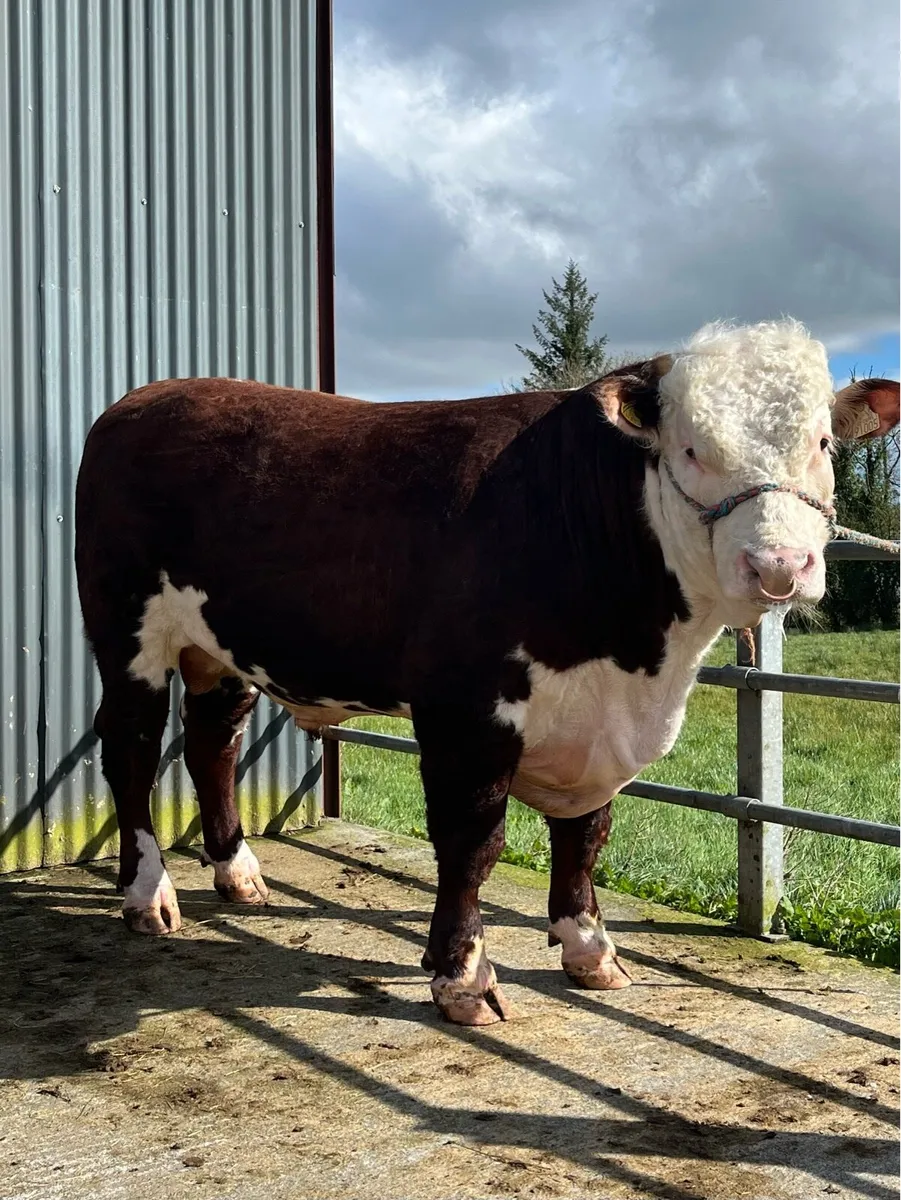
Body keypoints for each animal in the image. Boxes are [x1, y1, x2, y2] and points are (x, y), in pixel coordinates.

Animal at [75, 319, 899, 1025]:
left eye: (823, 441)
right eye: (692, 449)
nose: (779, 565)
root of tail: (142, 399)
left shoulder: (593, 724)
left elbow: (586, 834)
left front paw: (589, 948)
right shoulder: (464, 709)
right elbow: (472, 843)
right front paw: (463, 976)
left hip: (219, 648)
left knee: (212, 741)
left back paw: (238, 873)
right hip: (127, 631)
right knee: (132, 747)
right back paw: (148, 894)